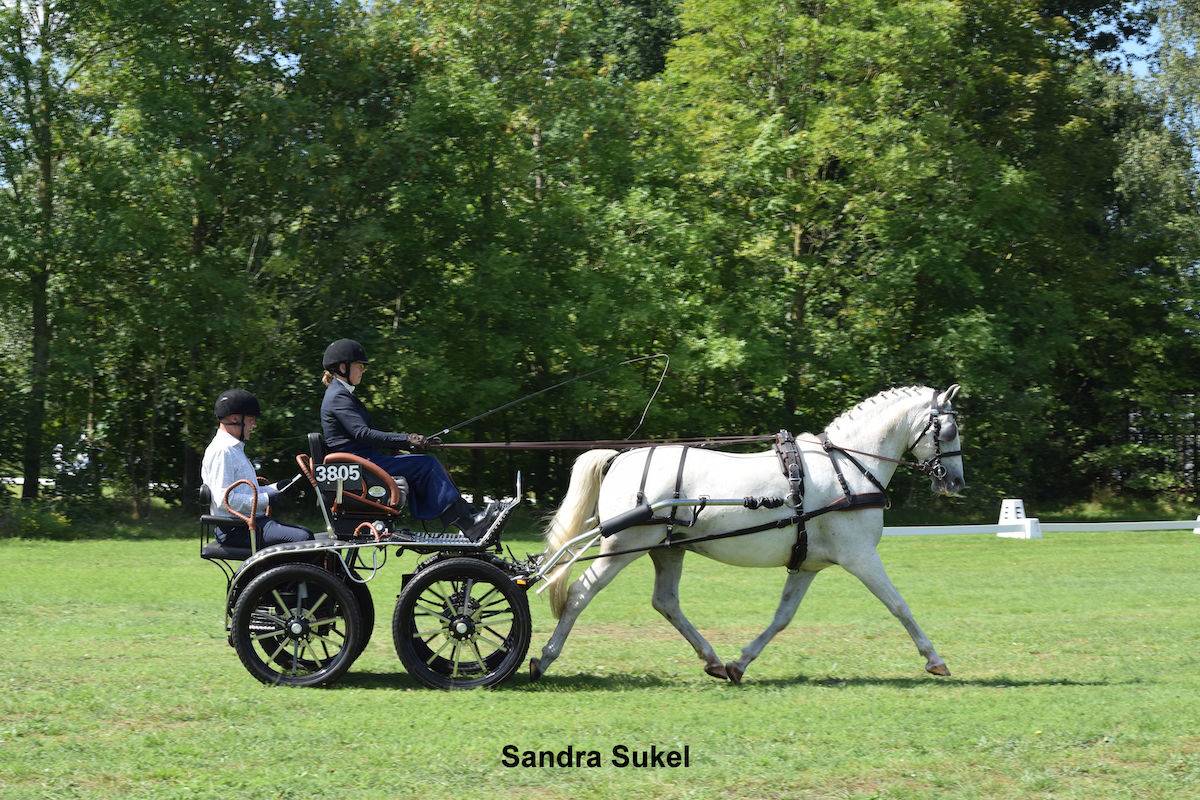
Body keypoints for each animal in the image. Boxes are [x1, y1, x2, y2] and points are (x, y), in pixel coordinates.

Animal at [535, 386, 964, 681]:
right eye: (948, 432)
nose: (955, 483)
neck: (848, 467)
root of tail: (622, 458)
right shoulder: (860, 557)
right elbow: (899, 605)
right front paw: (934, 659)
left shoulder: (806, 565)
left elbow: (782, 617)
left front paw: (739, 663)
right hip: (623, 545)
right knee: (580, 592)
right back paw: (544, 657)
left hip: (668, 549)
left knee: (666, 601)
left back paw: (711, 659)